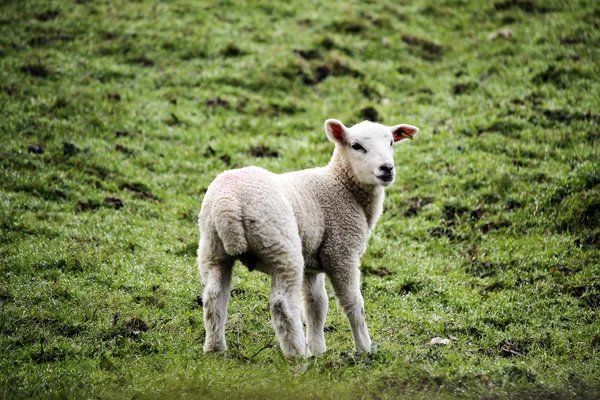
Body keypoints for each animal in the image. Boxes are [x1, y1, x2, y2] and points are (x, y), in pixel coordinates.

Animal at [197, 117, 418, 358]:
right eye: (356, 146)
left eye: (391, 143)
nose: (387, 169)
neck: (341, 186)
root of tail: (228, 201)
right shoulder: (341, 251)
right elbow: (353, 302)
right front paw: (364, 350)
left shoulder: (313, 261)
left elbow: (316, 304)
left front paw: (318, 351)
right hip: (281, 246)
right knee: (282, 304)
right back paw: (296, 355)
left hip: (212, 247)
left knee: (214, 296)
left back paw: (215, 350)